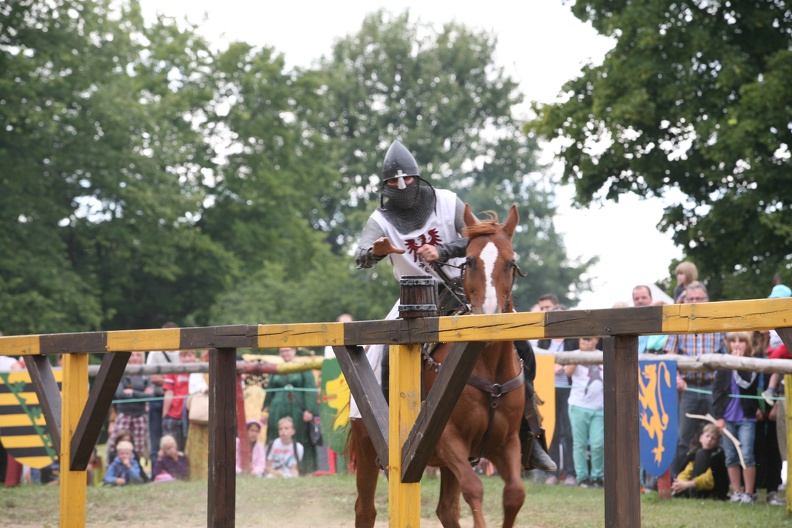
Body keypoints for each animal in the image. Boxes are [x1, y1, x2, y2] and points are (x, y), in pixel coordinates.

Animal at [352, 204, 524, 524]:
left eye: (510, 263)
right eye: (470, 261)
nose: (488, 314)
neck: (486, 365)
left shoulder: (506, 442)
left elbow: (514, 494)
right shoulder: (447, 440)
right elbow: (474, 488)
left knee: (447, 509)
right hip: (368, 448)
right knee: (365, 509)